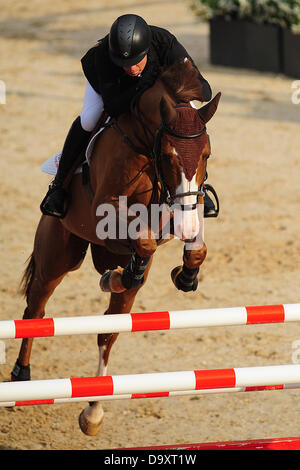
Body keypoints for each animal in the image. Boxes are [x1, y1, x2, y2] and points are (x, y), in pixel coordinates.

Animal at [12, 59, 220, 436]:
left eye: (206, 154)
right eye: (168, 156)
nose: (185, 225)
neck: (144, 145)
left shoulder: (180, 210)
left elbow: (191, 248)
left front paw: (185, 276)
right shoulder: (104, 213)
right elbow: (145, 239)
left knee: (108, 330)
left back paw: (93, 410)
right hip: (57, 257)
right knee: (35, 310)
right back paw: (21, 375)